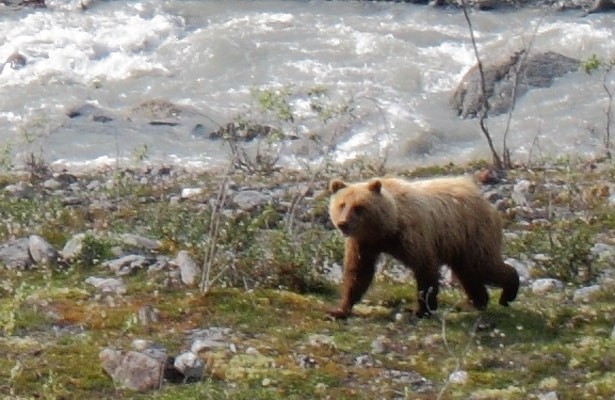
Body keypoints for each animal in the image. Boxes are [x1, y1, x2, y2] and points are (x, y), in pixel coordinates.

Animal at [328, 175, 520, 318]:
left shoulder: (413, 235)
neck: (388, 228)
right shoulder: (364, 243)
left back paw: (507, 293)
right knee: (468, 273)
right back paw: (475, 302)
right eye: (342, 204)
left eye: (358, 207)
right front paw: (339, 309)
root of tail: (485, 201)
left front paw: (422, 309)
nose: (343, 224)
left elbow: (424, 269)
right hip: (460, 244)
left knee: (484, 266)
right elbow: (358, 272)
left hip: (473, 234)